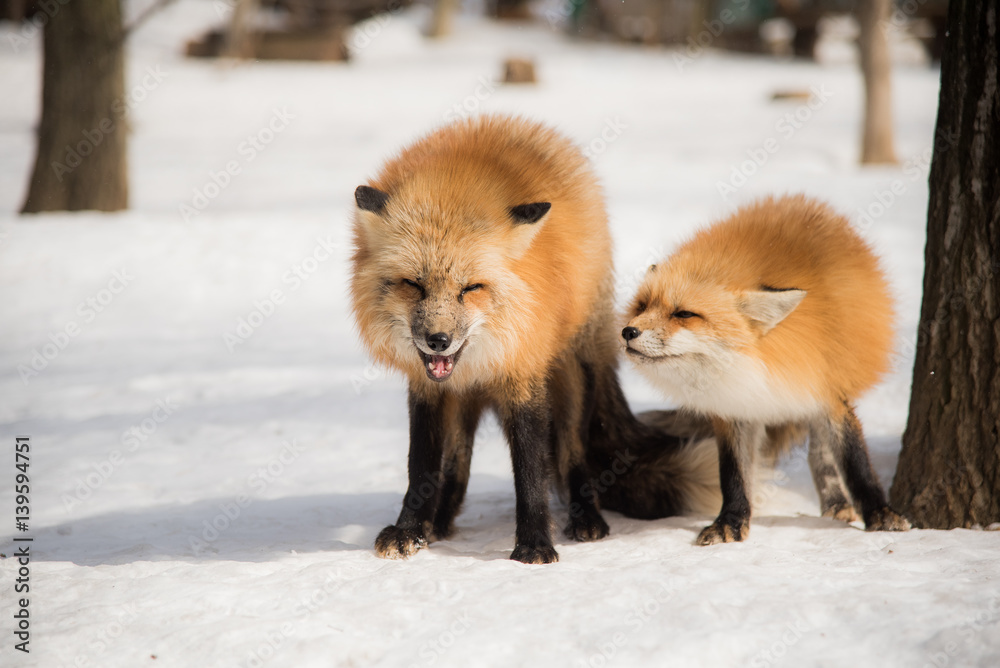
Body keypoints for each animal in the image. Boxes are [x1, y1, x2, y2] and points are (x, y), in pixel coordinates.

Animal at [349, 115, 719, 564]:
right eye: (413, 285)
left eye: (471, 288)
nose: (438, 340)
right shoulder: (428, 388)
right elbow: (421, 463)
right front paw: (410, 531)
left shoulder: (523, 374)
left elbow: (531, 469)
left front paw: (534, 543)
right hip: (466, 400)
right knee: (458, 462)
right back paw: (440, 522)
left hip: (571, 375)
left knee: (574, 453)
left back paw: (587, 518)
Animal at [621, 195, 911, 545]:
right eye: (642, 306)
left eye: (684, 314)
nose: (628, 332)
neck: (760, 366)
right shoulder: (734, 409)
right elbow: (733, 475)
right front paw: (731, 522)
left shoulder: (827, 390)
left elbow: (855, 462)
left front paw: (880, 512)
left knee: (820, 453)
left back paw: (836, 502)